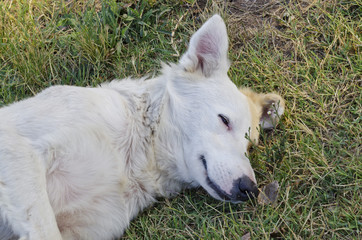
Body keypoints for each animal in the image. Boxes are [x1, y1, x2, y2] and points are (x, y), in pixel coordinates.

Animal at [0, 15, 282, 240]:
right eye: (224, 120)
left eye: (249, 145)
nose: (249, 189)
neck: (135, 157)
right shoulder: (18, 147)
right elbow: (45, 228)